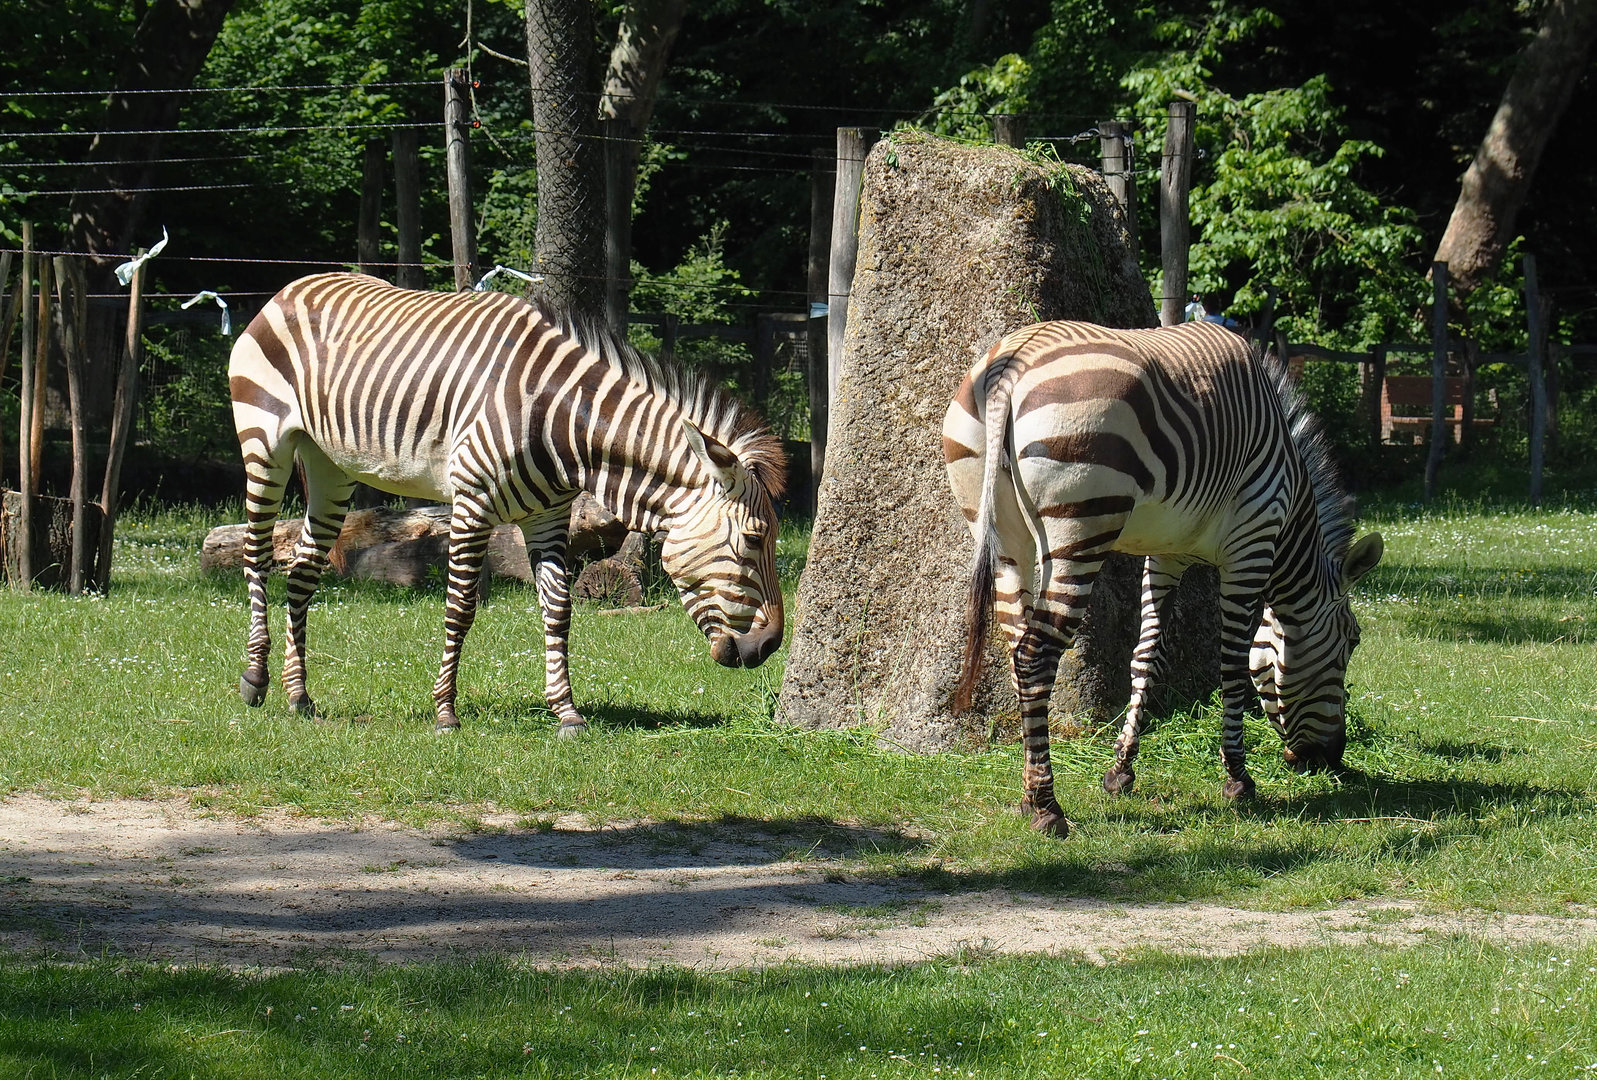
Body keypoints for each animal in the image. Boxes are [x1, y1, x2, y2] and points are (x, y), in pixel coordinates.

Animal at [228, 272, 786, 734]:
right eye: (754, 539)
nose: (771, 646)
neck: (564, 424)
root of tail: (294, 285)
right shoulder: (471, 505)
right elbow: (460, 608)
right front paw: (445, 712)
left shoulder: (550, 516)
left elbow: (558, 610)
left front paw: (566, 712)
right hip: (264, 444)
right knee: (256, 556)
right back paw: (255, 678)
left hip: (331, 467)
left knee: (302, 571)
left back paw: (299, 695)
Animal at [943, 319, 1383, 836]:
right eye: (1352, 641)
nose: (1330, 759)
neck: (1291, 508)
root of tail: (1015, 358)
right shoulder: (1252, 544)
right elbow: (1232, 664)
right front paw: (1238, 778)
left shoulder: (1167, 552)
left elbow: (1146, 655)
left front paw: (1121, 770)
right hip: (1082, 522)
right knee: (1037, 654)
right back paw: (1049, 807)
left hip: (1000, 529)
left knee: (1017, 646)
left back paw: (1030, 792)